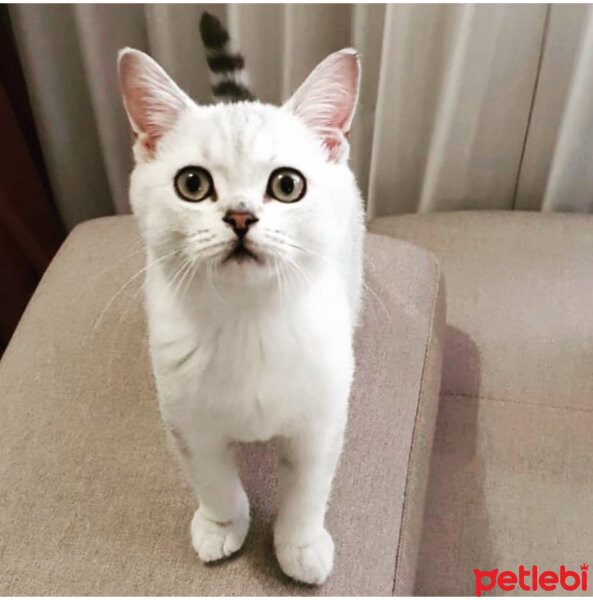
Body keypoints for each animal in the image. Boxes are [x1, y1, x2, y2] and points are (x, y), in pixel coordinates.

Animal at [117, 12, 364, 584]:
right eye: (192, 183)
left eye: (288, 184)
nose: (239, 216)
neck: (249, 323)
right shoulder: (185, 418)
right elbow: (212, 479)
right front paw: (222, 524)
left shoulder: (321, 417)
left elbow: (309, 487)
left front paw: (299, 543)